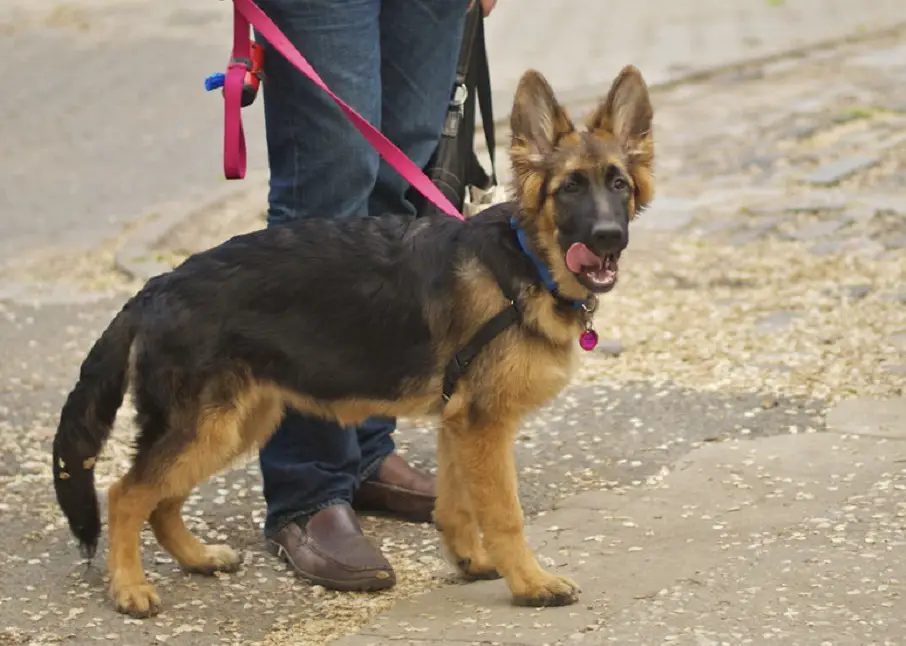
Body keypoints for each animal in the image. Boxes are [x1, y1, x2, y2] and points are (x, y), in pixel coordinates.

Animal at [53, 66, 652, 616]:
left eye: (618, 184)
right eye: (570, 187)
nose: (609, 238)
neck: (524, 260)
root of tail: (158, 286)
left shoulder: (459, 422)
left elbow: (456, 503)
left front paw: (470, 559)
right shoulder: (485, 425)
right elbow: (505, 513)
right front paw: (529, 582)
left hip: (233, 424)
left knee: (161, 499)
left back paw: (197, 557)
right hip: (207, 427)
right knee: (126, 494)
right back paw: (129, 588)